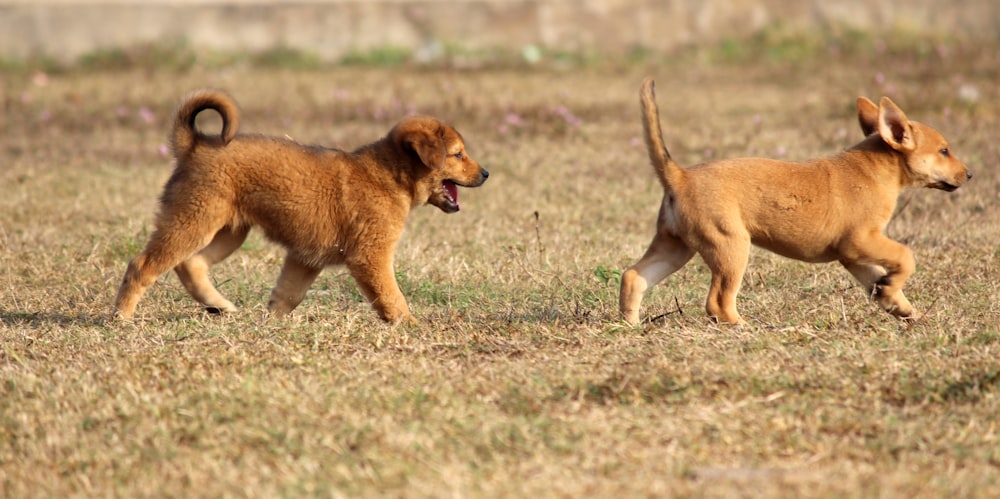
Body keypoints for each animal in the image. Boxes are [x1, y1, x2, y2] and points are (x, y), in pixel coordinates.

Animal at [115, 89, 490, 324]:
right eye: (458, 154)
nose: (486, 173)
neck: (391, 175)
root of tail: (196, 144)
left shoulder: (305, 258)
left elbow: (286, 296)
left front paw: (270, 326)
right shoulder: (371, 256)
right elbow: (391, 297)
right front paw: (410, 324)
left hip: (226, 231)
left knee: (189, 264)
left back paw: (219, 306)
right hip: (194, 220)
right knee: (142, 265)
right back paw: (121, 318)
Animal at [620, 78, 972, 326]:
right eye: (944, 151)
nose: (969, 174)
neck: (879, 166)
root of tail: (680, 176)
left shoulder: (855, 256)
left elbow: (882, 282)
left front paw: (900, 305)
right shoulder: (860, 241)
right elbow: (906, 255)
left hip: (675, 247)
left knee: (634, 276)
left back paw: (630, 325)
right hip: (730, 247)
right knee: (717, 302)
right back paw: (744, 327)